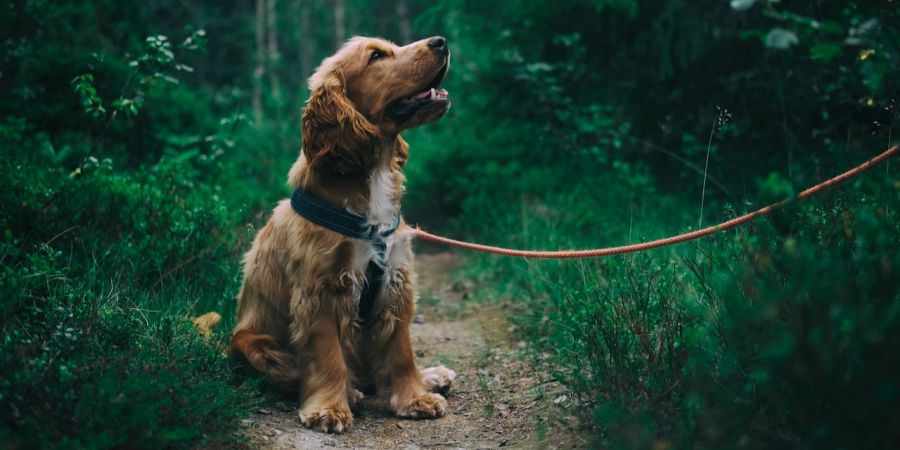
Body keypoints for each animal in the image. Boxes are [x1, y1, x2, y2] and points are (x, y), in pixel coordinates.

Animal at [232, 37, 458, 434]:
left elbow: (401, 351)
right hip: (251, 342)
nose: (441, 41)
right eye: (377, 56)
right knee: (301, 372)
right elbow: (327, 356)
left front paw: (415, 397)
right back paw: (350, 392)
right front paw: (329, 409)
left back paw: (431, 376)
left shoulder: (395, 281)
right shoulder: (321, 289)